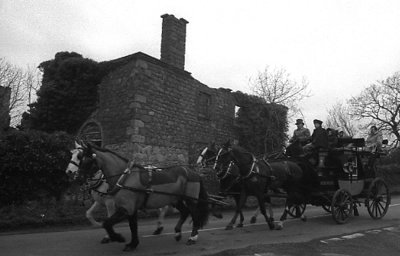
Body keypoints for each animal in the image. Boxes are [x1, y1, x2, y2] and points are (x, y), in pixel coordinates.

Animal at [69, 142, 211, 252]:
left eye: (86, 160)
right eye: (79, 158)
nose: (77, 177)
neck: (124, 177)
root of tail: (193, 172)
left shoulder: (126, 208)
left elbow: (107, 223)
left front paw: (117, 237)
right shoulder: (130, 209)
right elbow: (133, 226)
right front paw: (132, 244)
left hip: (191, 200)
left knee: (194, 215)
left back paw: (192, 237)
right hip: (176, 199)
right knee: (184, 212)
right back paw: (177, 233)